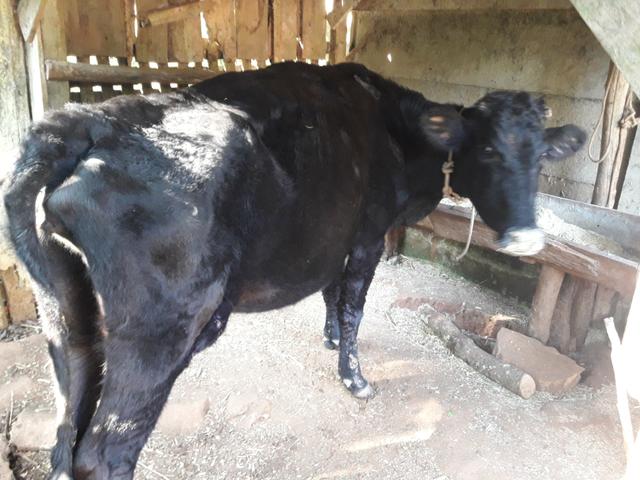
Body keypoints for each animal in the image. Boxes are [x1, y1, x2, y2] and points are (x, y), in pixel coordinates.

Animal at [4, 62, 585, 479]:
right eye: (486, 150)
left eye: (541, 157)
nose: (528, 238)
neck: (396, 130)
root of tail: (86, 120)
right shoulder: (368, 234)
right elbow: (353, 305)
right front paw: (355, 377)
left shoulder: (335, 239)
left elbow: (331, 295)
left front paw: (329, 340)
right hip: (162, 332)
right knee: (103, 453)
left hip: (65, 319)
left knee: (65, 435)